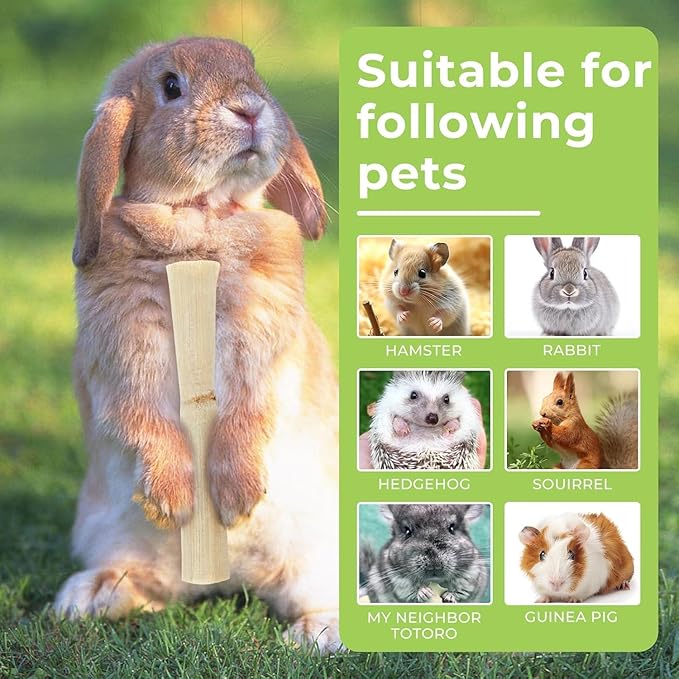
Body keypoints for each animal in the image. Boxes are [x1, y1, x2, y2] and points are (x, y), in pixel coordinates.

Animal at [53, 37, 341, 653]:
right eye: (170, 86)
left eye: (253, 67)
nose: (250, 109)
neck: (200, 218)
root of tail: (225, 580)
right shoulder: (123, 358)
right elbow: (142, 418)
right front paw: (174, 500)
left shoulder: (265, 354)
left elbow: (249, 414)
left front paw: (236, 499)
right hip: (110, 532)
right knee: (148, 585)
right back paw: (88, 596)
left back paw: (318, 631)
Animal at [360, 504, 488, 604]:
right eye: (407, 531)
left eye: (452, 528)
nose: (435, 564)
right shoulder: (396, 579)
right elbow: (408, 590)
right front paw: (424, 592)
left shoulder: (471, 575)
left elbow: (461, 591)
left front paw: (449, 596)